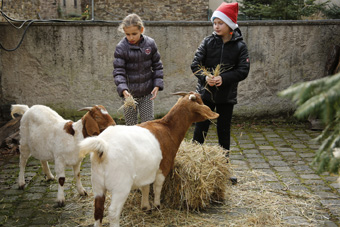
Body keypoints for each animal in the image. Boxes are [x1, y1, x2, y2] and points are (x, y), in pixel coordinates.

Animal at [78, 91, 219, 226]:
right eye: (200, 101)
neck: (168, 128)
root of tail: (103, 148)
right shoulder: (164, 166)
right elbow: (157, 186)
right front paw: (157, 205)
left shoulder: (146, 170)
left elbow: (145, 187)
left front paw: (146, 206)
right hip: (121, 187)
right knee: (113, 212)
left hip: (97, 184)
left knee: (98, 210)